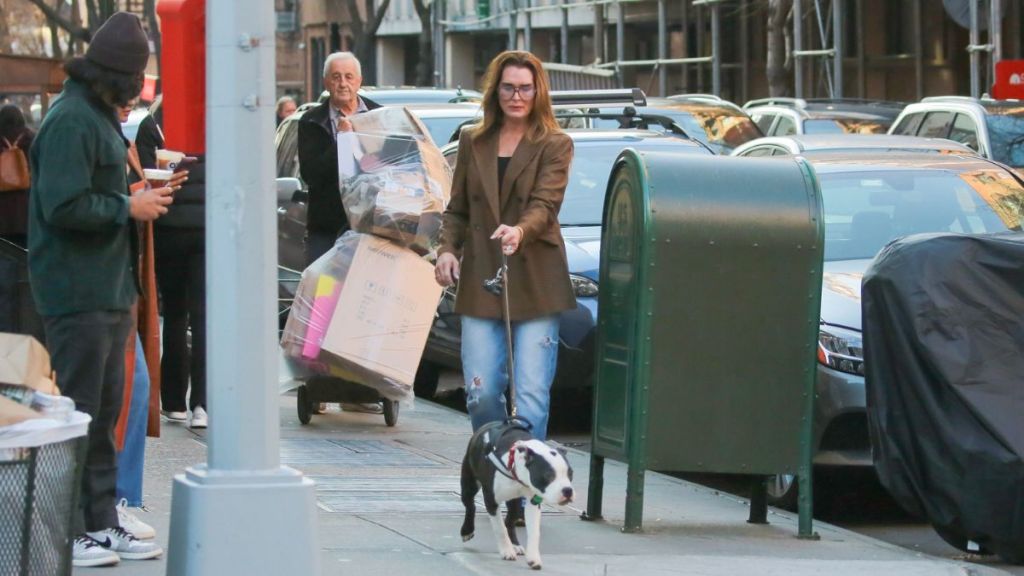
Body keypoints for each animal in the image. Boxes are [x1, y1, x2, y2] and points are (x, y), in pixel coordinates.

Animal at [460, 416, 573, 569]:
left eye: (570, 474)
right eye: (548, 475)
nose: (568, 490)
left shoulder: (533, 502)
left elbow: (534, 532)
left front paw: (533, 557)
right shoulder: (491, 501)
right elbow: (499, 528)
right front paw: (506, 551)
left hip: (514, 501)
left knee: (510, 519)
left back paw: (515, 544)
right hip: (469, 483)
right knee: (470, 505)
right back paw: (467, 530)